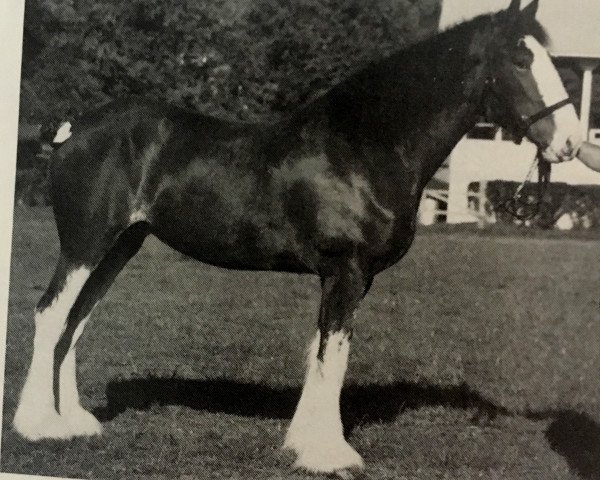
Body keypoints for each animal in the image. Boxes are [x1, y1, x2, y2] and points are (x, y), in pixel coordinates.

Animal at [12, 0, 580, 476]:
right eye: (521, 59)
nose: (573, 142)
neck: (364, 148)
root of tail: (72, 129)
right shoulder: (346, 272)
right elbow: (335, 356)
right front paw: (330, 455)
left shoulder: (345, 278)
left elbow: (320, 353)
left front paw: (303, 443)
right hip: (85, 244)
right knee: (51, 315)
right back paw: (38, 426)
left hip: (119, 246)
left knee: (76, 321)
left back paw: (75, 422)